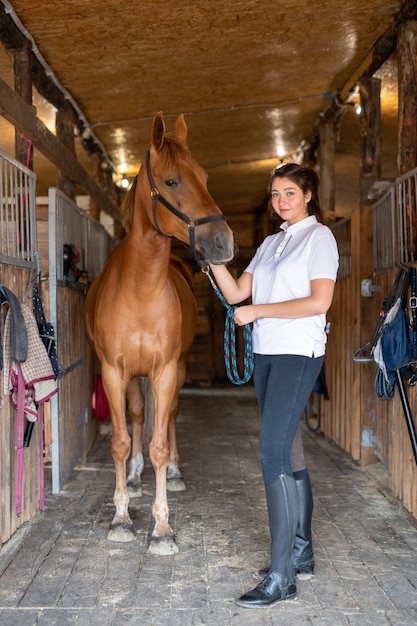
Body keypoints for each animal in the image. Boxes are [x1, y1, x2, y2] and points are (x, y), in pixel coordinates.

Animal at [85, 111, 234, 552]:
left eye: (204, 176)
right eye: (171, 181)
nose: (223, 243)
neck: (140, 288)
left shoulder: (166, 370)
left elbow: (161, 445)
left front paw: (162, 526)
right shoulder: (113, 372)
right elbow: (121, 441)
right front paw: (120, 517)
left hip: (174, 371)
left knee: (168, 417)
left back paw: (175, 474)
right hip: (134, 376)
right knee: (137, 416)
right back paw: (135, 479)